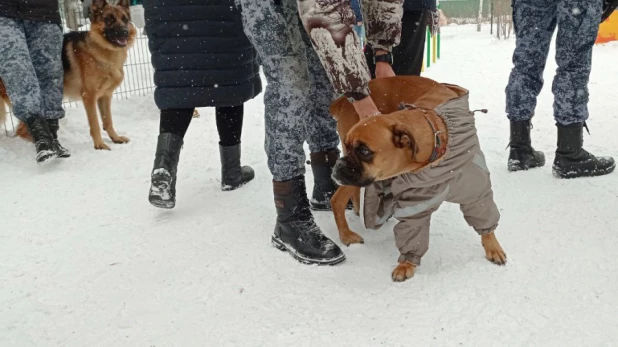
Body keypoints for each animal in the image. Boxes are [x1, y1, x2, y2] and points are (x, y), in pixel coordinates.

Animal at [0, 0, 135, 150]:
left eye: (125, 19)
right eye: (109, 19)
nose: (124, 32)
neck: (101, 49)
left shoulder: (105, 96)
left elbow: (108, 120)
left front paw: (115, 138)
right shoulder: (89, 96)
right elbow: (94, 123)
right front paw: (99, 144)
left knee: (22, 129)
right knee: (22, 129)